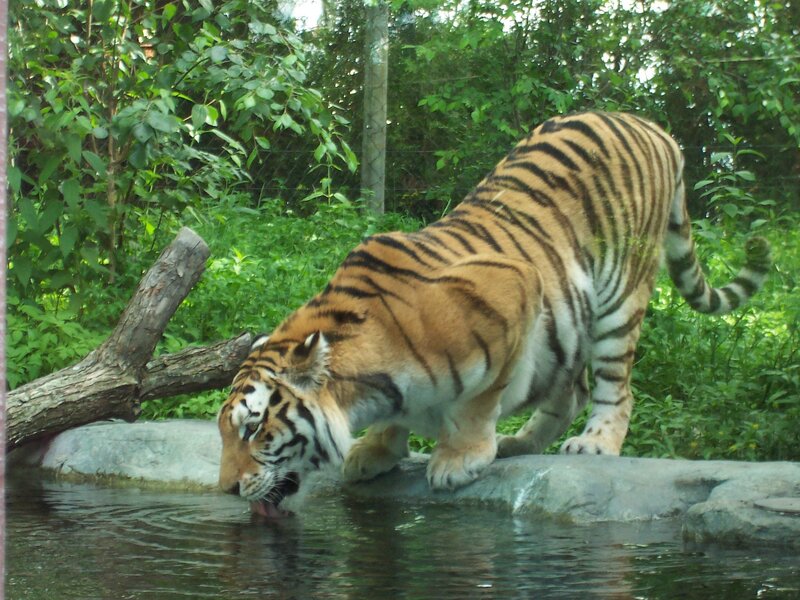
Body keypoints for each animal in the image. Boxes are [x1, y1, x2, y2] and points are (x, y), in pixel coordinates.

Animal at [217, 111, 771, 516]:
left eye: (253, 429)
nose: (225, 489)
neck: (362, 393)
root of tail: (655, 128)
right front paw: (374, 452)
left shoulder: (513, 291)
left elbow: (476, 402)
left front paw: (456, 461)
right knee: (572, 390)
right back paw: (518, 443)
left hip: (621, 294)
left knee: (616, 388)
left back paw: (594, 443)